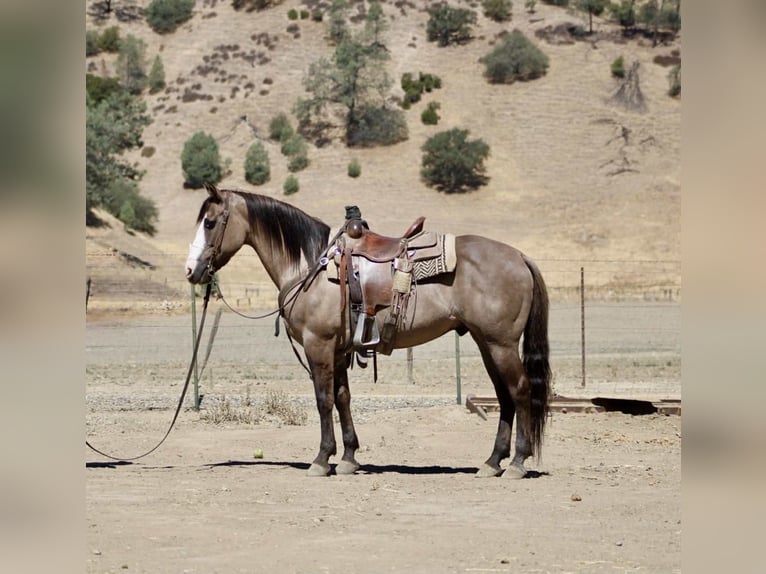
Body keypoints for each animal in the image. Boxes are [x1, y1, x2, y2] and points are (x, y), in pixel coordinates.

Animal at [185, 184, 551, 478]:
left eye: (210, 222)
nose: (191, 271)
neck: (310, 267)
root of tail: (520, 257)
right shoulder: (338, 349)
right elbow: (342, 397)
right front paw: (348, 457)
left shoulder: (318, 345)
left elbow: (323, 400)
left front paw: (321, 459)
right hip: (485, 342)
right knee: (504, 396)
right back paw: (492, 462)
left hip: (500, 344)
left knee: (519, 390)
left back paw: (517, 462)